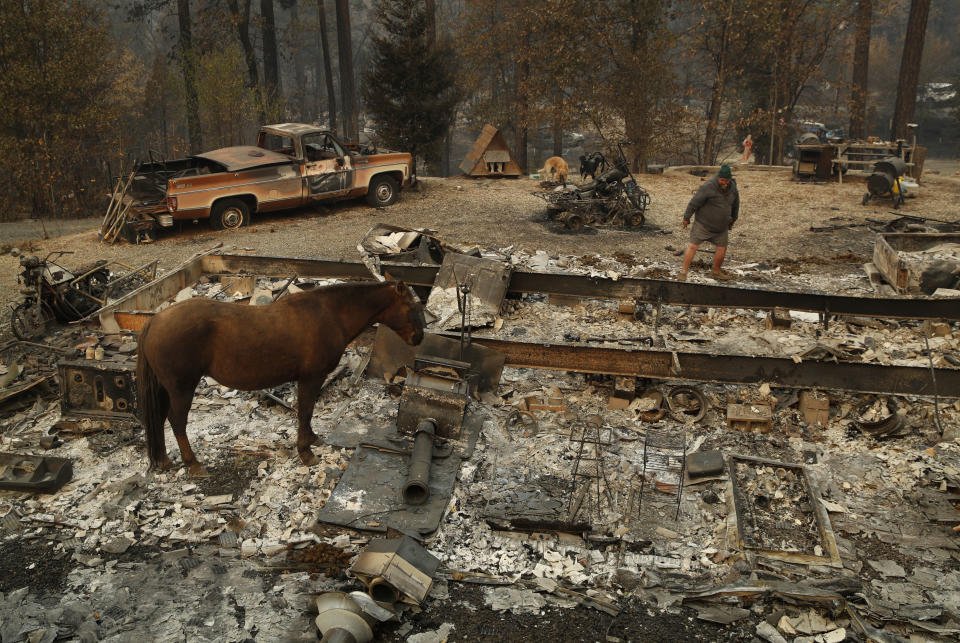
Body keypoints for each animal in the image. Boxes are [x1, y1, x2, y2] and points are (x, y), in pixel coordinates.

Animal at [137, 280, 422, 476]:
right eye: (411, 307)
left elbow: (307, 413)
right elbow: (305, 411)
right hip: (182, 388)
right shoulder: (311, 377)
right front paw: (305, 452)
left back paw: (165, 460)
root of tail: (155, 321)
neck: (329, 314)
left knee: (162, 419)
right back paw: (193, 464)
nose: (419, 337)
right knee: (177, 422)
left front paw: (311, 439)